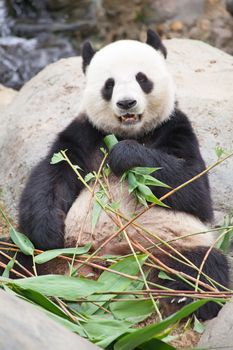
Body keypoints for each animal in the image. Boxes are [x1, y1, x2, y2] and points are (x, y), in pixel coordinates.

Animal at [1, 29, 229, 320]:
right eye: (109, 85)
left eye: (142, 79)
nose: (126, 103)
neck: (129, 133)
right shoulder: (83, 134)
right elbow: (51, 177)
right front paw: (48, 230)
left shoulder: (175, 127)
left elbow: (193, 188)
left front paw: (124, 155)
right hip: (48, 252)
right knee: (12, 255)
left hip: (171, 245)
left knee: (203, 268)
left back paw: (184, 297)